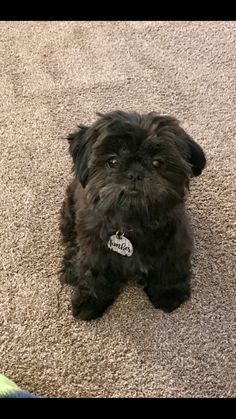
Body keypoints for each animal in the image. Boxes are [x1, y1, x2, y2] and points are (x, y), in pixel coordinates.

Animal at [60, 111, 206, 322]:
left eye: (157, 162)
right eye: (112, 161)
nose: (135, 173)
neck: (132, 223)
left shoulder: (175, 241)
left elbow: (171, 266)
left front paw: (168, 293)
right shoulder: (93, 247)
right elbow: (92, 271)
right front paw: (89, 300)